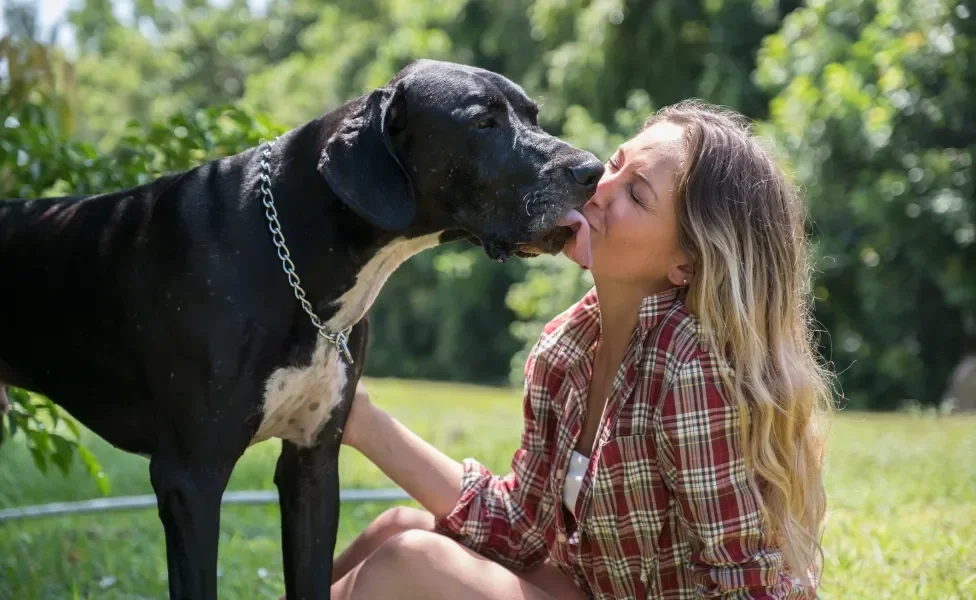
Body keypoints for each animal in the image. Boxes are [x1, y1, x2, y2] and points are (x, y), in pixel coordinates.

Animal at [0, 58, 604, 596]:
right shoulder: (190, 477)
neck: (290, 247)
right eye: (484, 123)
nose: (592, 170)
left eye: (533, 114)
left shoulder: (313, 464)